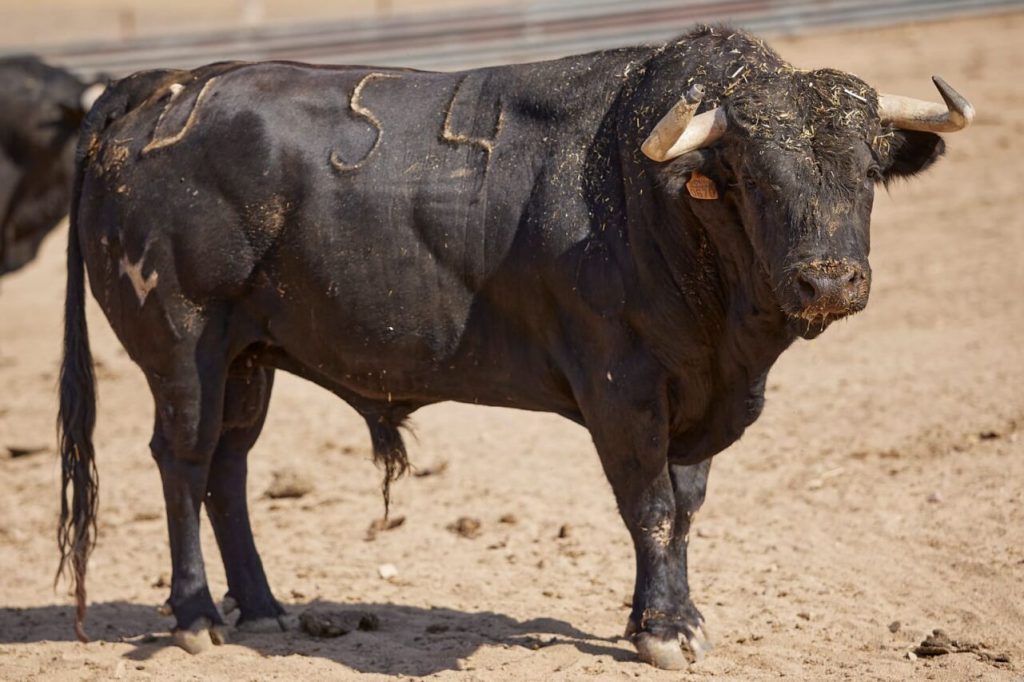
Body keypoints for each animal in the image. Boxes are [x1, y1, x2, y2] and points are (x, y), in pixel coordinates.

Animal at [56, 23, 966, 667]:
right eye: (752, 176)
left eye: (866, 172)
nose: (828, 282)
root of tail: (164, 87)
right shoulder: (621, 390)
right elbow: (651, 507)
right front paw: (663, 630)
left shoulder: (699, 398)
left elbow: (686, 507)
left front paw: (665, 615)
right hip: (183, 347)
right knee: (183, 461)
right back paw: (197, 616)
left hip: (247, 360)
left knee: (229, 467)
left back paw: (265, 607)